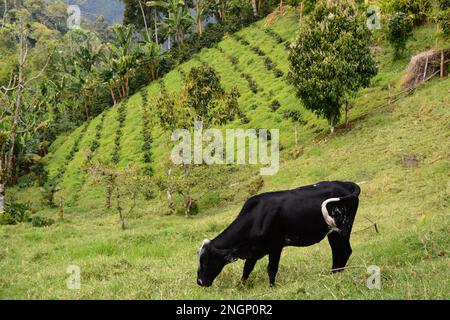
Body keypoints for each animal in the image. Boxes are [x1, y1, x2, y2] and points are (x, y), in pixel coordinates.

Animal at [197, 180, 362, 288]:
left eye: (205, 260)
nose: (199, 282)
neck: (256, 217)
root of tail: (346, 183)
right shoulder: (254, 250)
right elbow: (247, 269)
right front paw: (240, 285)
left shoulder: (276, 246)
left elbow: (271, 268)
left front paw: (271, 287)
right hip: (333, 233)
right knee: (338, 250)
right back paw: (335, 273)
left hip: (342, 229)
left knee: (344, 250)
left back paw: (336, 274)